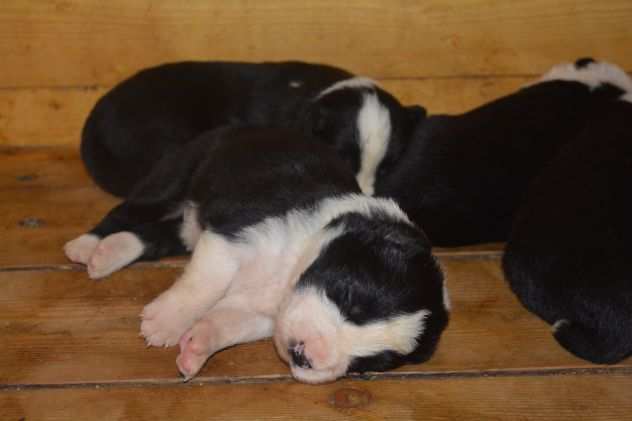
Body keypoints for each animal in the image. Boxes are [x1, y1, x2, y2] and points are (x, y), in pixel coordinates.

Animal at [128, 126, 450, 382]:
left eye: (371, 362)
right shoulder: (231, 237)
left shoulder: (257, 314)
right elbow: (204, 283)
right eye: (350, 301)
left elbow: (224, 323)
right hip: (179, 174)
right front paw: (167, 321)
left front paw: (196, 347)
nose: (303, 356)